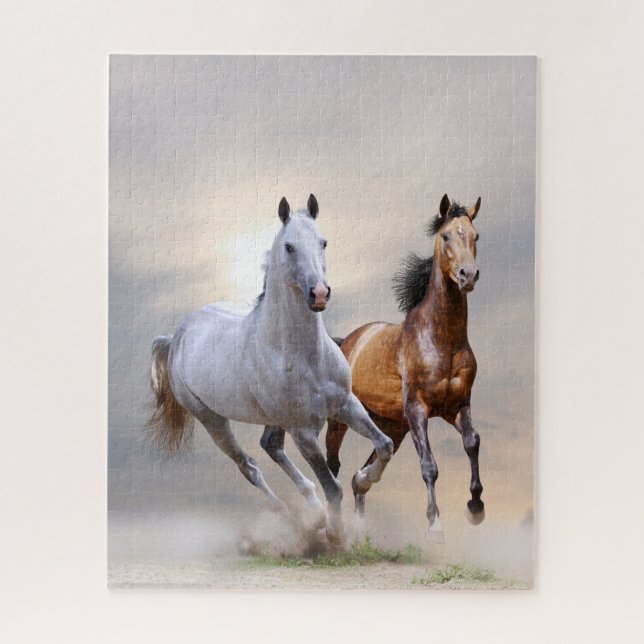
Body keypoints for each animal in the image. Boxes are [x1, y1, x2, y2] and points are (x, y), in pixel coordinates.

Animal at [147, 194, 394, 543]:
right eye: (289, 246)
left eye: (323, 242)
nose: (319, 294)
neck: (306, 356)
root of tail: (177, 336)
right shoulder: (303, 431)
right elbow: (332, 485)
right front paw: (335, 533)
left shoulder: (345, 405)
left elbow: (384, 445)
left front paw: (363, 479)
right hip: (212, 420)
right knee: (248, 465)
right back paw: (299, 519)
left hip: (275, 419)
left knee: (270, 446)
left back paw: (313, 513)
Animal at [325, 194, 485, 533]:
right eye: (446, 236)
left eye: (475, 236)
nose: (468, 275)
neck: (442, 341)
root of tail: (346, 342)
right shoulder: (417, 410)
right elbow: (429, 465)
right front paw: (435, 524)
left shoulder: (457, 405)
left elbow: (472, 443)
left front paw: (476, 506)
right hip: (341, 419)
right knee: (332, 463)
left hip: (390, 425)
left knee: (365, 469)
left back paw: (361, 517)